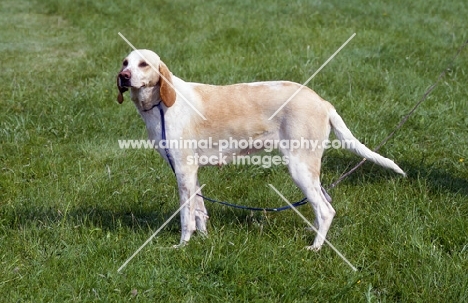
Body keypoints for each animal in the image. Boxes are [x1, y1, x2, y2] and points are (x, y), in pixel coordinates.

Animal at [115, 48, 404, 251]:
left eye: (143, 64)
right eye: (125, 62)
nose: (123, 77)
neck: (161, 105)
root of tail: (322, 101)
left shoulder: (184, 170)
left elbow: (187, 217)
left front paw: (182, 246)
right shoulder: (190, 172)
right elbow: (199, 211)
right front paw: (204, 240)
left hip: (300, 167)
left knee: (325, 210)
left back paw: (316, 248)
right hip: (309, 171)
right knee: (325, 204)